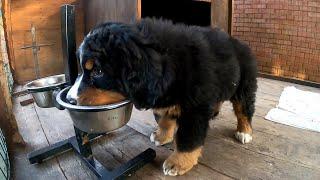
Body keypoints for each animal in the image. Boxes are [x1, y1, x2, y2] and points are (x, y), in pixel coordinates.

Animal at [67, 17, 258, 176]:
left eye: (98, 71)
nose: (69, 99)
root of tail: (238, 42)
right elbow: (165, 120)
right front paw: (162, 136)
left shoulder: (195, 109)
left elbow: (188, 139)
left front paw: (178, 163)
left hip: (244, 85)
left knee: (244, 110)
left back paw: (244, 132)